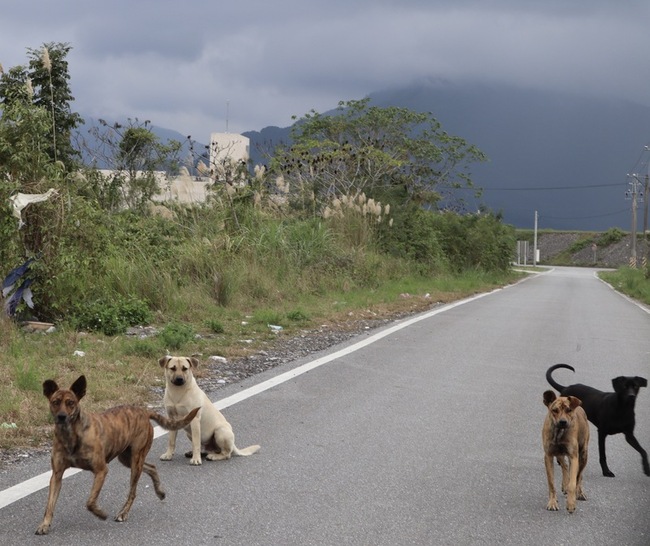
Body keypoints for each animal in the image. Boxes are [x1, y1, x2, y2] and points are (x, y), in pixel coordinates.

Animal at [35, 372, 196, 532]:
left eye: (70, 403)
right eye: (55, 402)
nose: (61, 417)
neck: (70, 434)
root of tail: (144, 411)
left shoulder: (101, 470)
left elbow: (90, 501)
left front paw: (100, 513)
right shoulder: (56, 475)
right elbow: (49, 504)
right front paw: (45, 524)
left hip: (136, 459)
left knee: (133, 491)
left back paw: (123, 513)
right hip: (127, 459)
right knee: (151, 467)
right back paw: (160, 491)